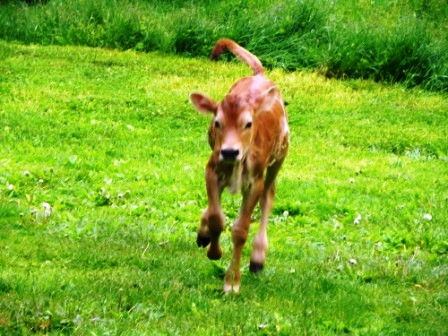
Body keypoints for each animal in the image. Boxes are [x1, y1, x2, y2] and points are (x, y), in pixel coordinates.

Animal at [190, 38, 290, 292]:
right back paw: (203, 234)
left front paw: (232, 283)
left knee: (269, 195)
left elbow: (240, 230)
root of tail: (261, 75)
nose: (229, 151)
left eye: (248, 123)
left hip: (279, 157)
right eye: (217, 122)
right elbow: (217, 217)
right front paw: (213, 249)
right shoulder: (212, 169)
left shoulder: (254, 181)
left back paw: (257, 258)